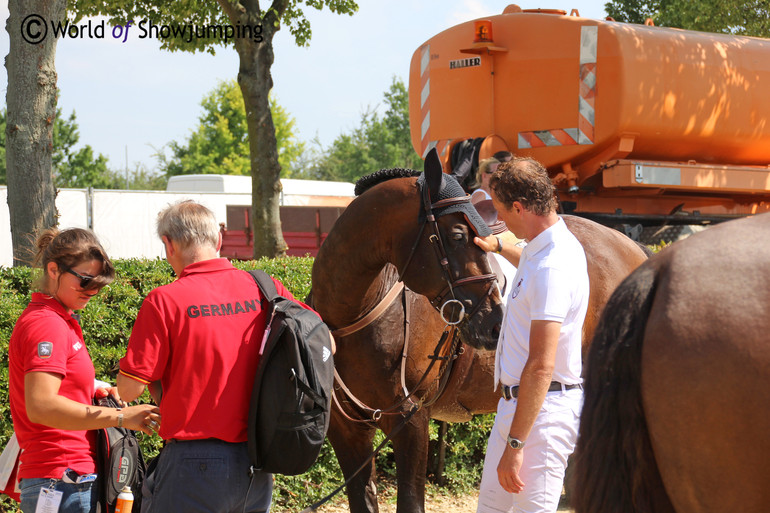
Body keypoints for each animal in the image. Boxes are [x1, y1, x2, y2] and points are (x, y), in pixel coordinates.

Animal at [310, 150, 648, 510]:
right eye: (459, 235)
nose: (495, 323)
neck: (355, 314)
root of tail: (631, 247)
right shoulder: (347, 431)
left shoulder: (410, 421)